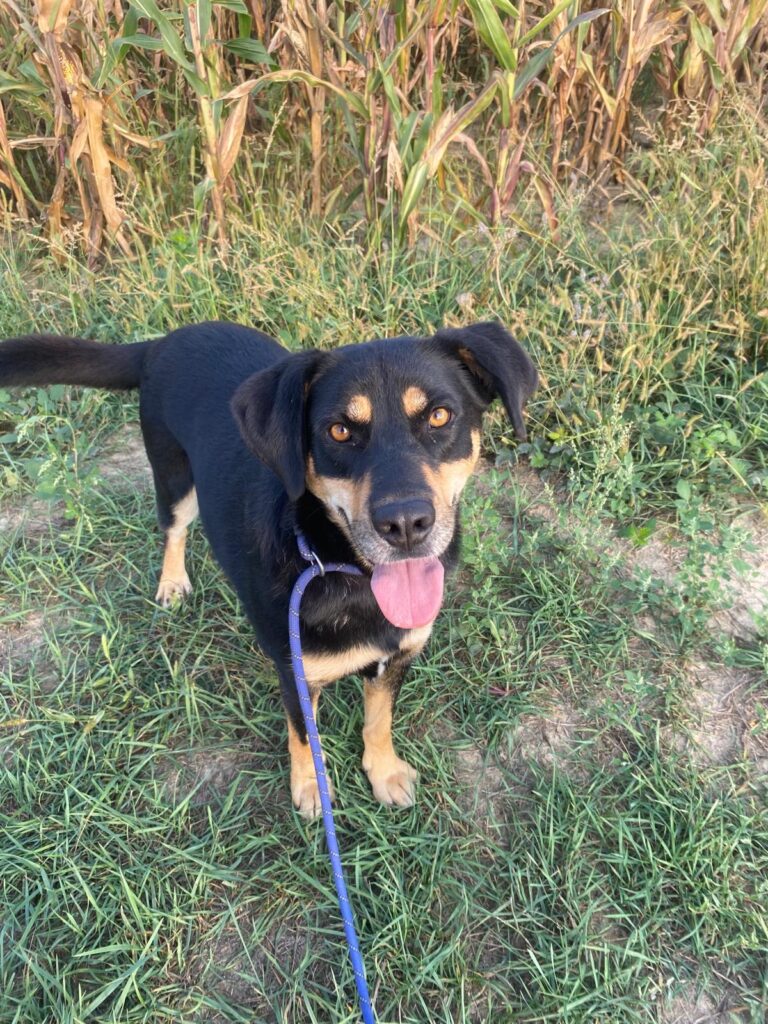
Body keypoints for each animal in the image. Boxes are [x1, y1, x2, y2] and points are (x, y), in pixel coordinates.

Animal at [0, 321, 537, 816]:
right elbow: (304, 738)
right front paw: (312, 789)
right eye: (339, 430)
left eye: (440, 416)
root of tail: (161, 341)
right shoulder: (295, 671)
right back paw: (172, 582)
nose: (405, 524)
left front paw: (383, 771)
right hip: (173, 477)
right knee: (173, 529)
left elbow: (379, 719)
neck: (345, 572)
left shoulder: (397, 656)